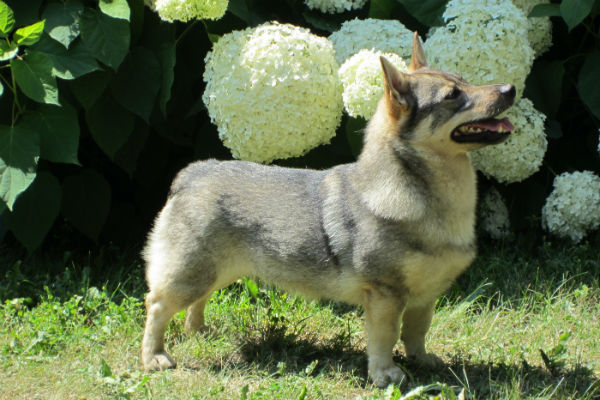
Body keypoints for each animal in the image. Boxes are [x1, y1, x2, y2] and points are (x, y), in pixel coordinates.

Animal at [142, 32, 516, 388]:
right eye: (452, 95)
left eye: (465, 80)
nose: (510, 89)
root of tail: (194, 172)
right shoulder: (385, 296)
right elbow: (385, 338)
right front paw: (385, 374)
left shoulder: (424, 297)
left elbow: (416, 332)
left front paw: (422, 361)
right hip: (192, 274)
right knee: (157, 306)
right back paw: (155, 357)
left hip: (215, 272)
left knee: (196, 302)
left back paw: (199, 332)